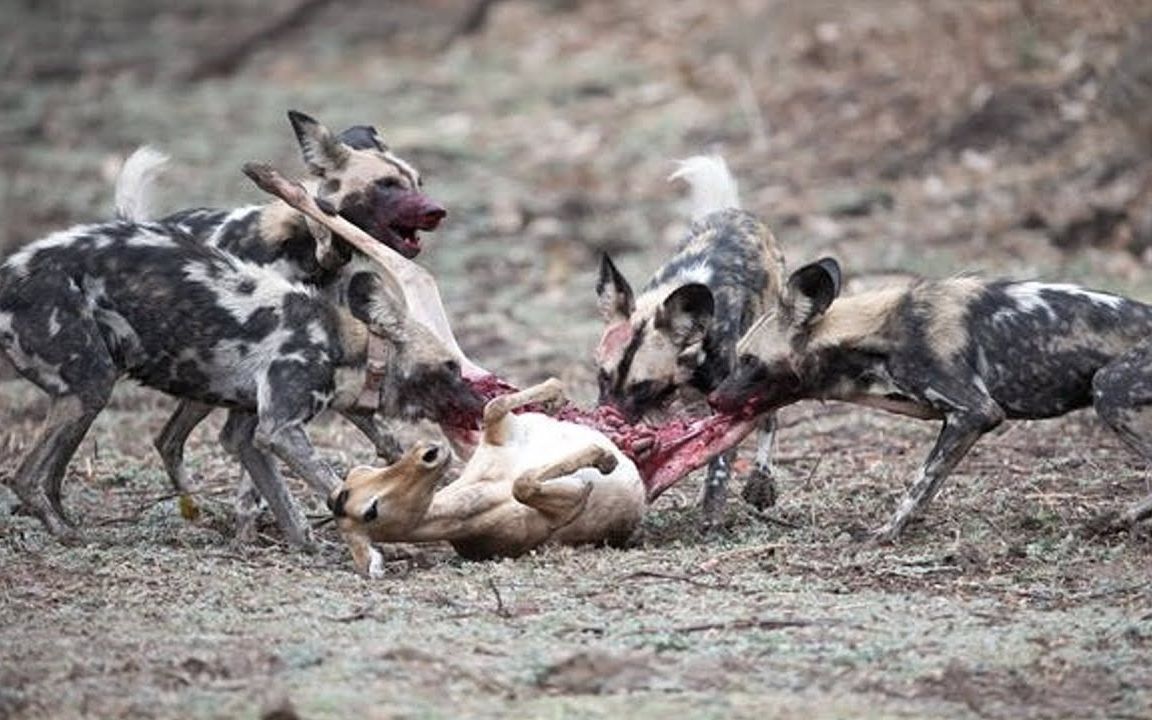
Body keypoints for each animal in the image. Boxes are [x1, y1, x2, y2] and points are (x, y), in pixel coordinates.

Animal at [0, 222, 479, 548]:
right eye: (453, 367)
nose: (483, 398)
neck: (348, 348)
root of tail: (12, 270)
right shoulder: (282, 429)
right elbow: (334, 488)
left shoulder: (250, 435)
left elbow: (284, 503)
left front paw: (308, 545)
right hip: (90, 386)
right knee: (26, 477)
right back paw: (66, 534)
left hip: (87, 398)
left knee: (52, 476)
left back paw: (70, 525)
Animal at [112, 112, 444, 502]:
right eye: (387, 184)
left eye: (418, 182)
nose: (437, 211)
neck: (311, 250)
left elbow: (380, 431)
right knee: (176, 439)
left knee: (167, 440)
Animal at [594, 155, 792, 523]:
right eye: (602, 376)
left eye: (642, 386)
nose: (607, 420)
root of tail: (733, 213)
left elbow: (720, 463)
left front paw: (712, 512)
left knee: (769, 420)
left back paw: (761, 481)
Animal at [709, 256, 1152, 539]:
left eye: (748, 359)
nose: (714, 398)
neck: (873, 336)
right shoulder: (959, 420)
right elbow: (928, 488)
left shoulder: (974, 412)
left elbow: (919, 485)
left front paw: (885, 533)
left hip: (1109, 389)